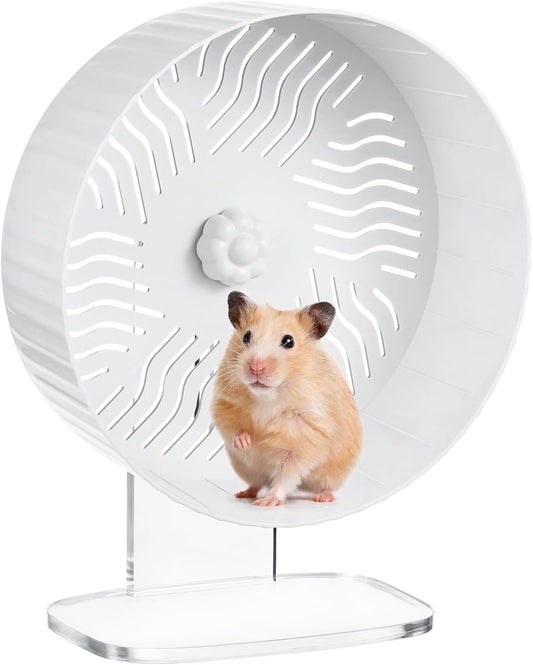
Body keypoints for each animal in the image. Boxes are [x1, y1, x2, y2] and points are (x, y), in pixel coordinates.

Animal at [211, 291, 362, 507]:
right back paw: (244, 493)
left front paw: (268, 502)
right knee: (256, 483)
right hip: (246, 469)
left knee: (325, 486)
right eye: (246, 336)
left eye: (289, 341)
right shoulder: (224, 403)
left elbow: (286, 474)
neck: (267, 396)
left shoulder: (304, 436)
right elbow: (233, 427)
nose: (256, 367)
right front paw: (246, 442)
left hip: (333, 473)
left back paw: (322, 498)